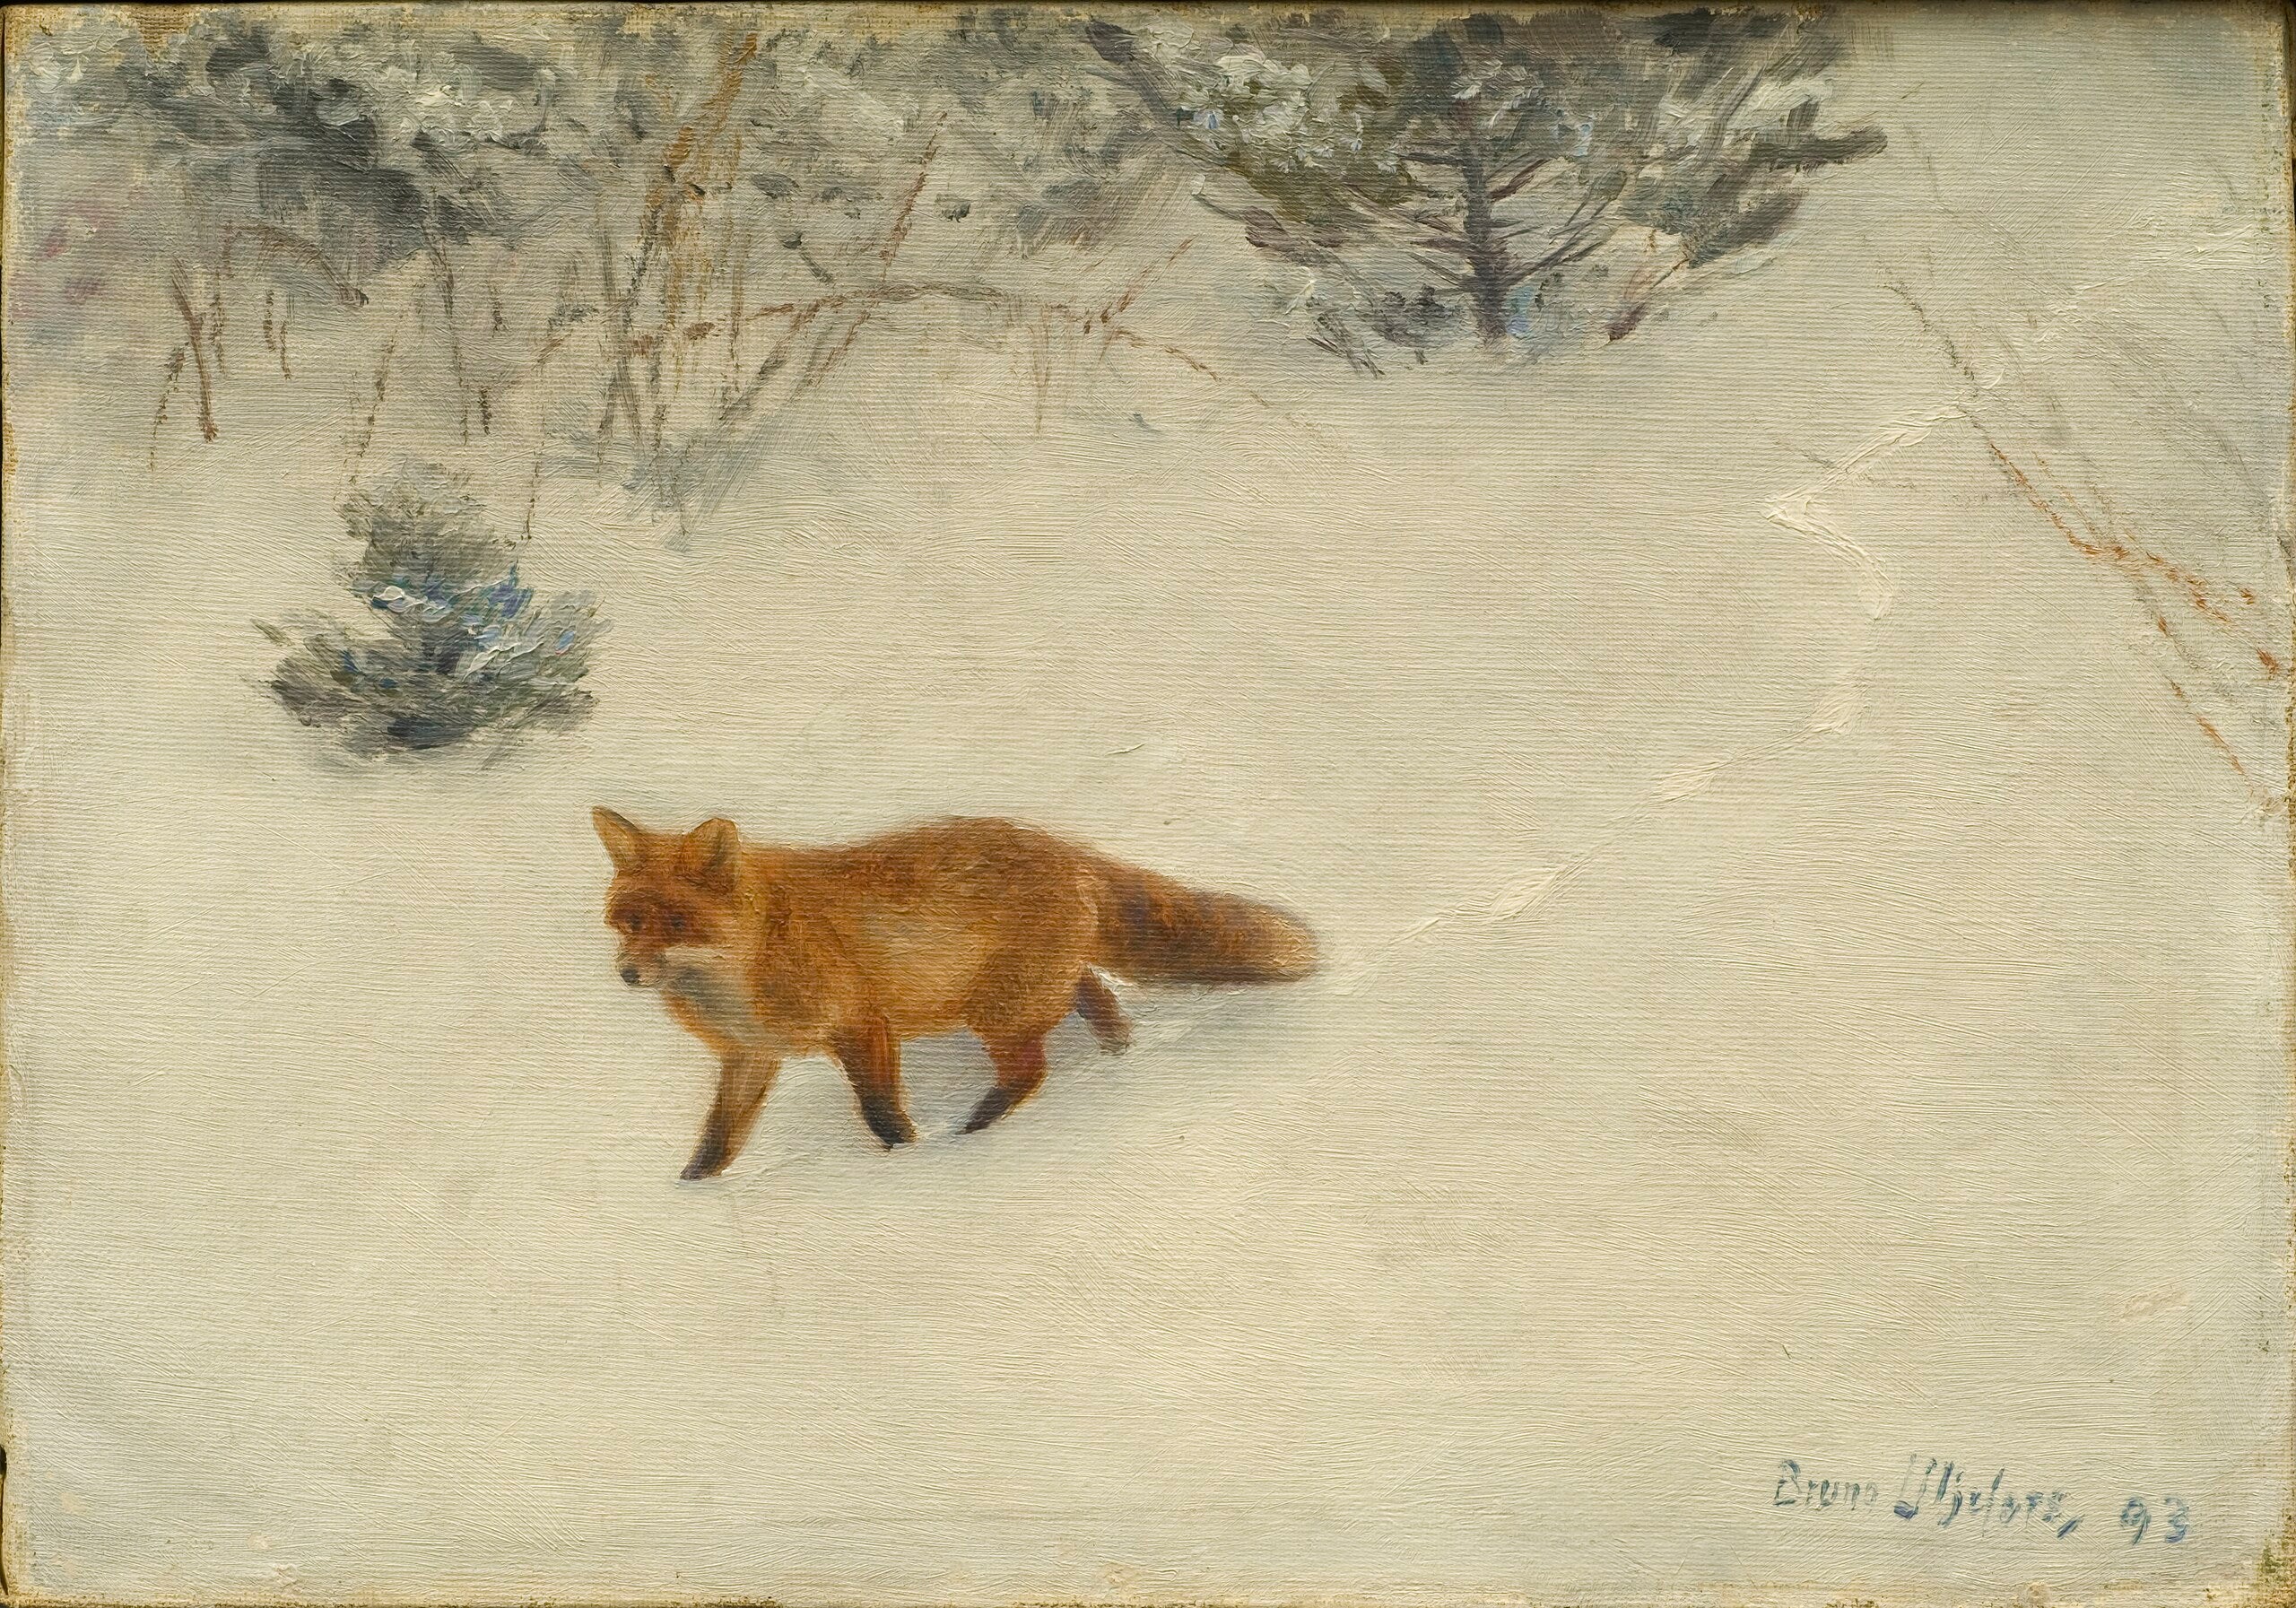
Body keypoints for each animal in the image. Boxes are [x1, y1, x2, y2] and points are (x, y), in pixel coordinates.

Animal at [591, 809, 1319, 1179]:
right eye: (628, 920)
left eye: (675, 923)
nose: (628, 973)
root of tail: (1066, 850)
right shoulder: (750, 1056)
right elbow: (716, 1140)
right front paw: (691, 1193)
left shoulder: (863, 1025)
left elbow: (882, 1114)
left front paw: (910, 1165)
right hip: (1026, 991)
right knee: (1093, 992)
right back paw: (1119, 1056)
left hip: (997, 1009)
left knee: (1031, 1068)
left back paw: (974, 1133)